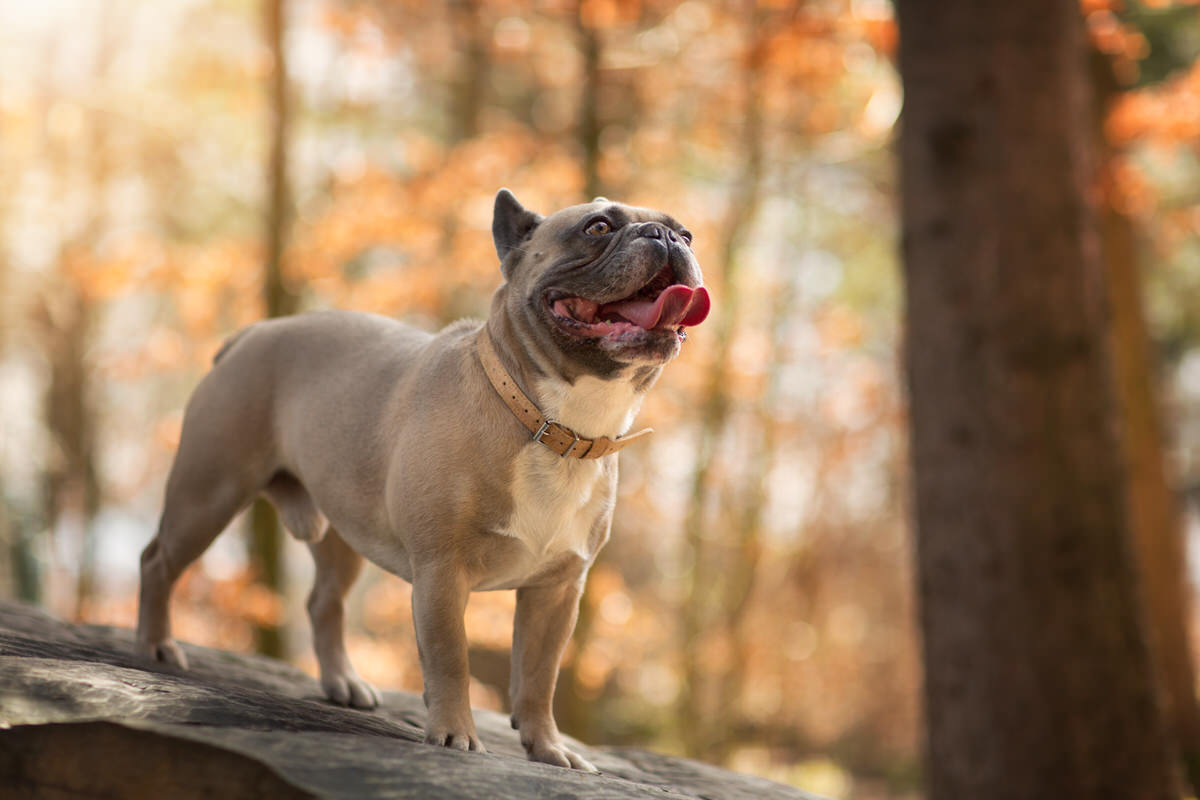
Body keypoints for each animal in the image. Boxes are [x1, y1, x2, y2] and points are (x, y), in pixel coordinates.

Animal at [137, 188, 705, 767]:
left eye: (687, 234)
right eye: (597, 227)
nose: (665, 237)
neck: (556, 423)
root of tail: (253, 332)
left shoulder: (557, 591)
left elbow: (539, 676)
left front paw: (548, 747)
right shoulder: (441, 572)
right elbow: (450, 656)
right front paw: (455, 734)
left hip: (342, 526)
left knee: (324, 601)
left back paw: (343, 682)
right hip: (209, 491)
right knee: (158, 561)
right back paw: (158, 647)